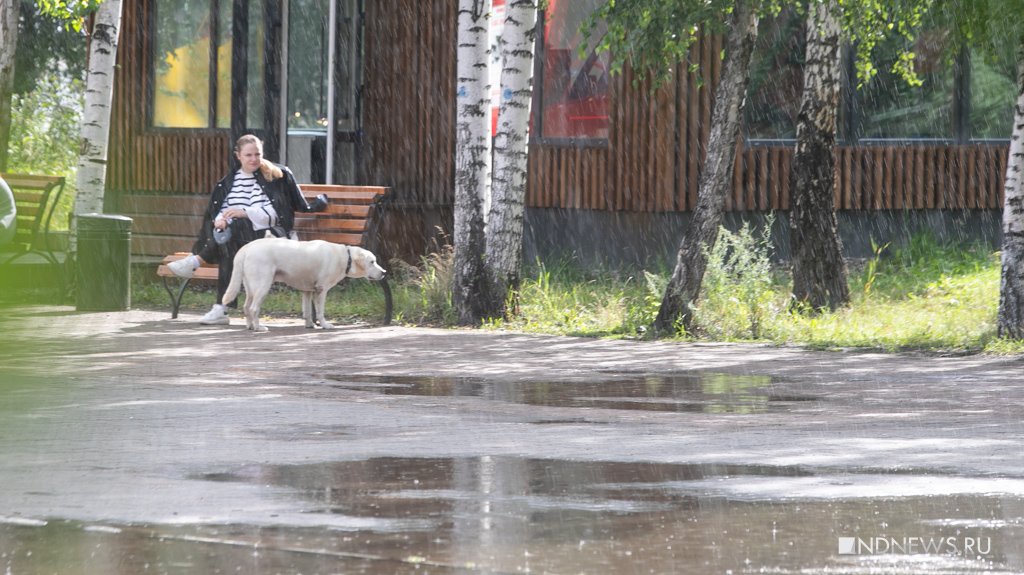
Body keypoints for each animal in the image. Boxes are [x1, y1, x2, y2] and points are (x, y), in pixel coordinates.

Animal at [222, 235, 385, 329]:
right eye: (372, 262)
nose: (384, 272)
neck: (346, 258)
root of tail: (246, 247)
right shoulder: (321, 290)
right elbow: (320, 311)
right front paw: (325, 325)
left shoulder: (307, 291)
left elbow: (307, 311)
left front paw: (309, 325)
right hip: (263, 285)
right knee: (253, 308)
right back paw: (258, 327)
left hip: (251, 287)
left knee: (246, 306)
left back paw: (250, 326)